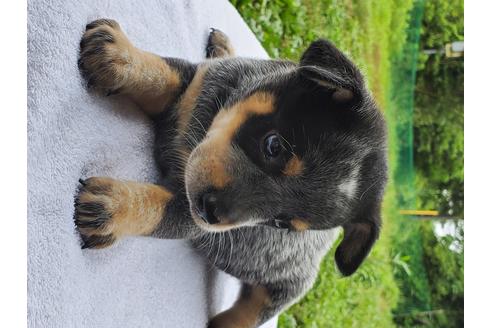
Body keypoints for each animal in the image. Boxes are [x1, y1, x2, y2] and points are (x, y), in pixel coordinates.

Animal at [74, 19, 388, 326]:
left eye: (280, 223)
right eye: (274, 146)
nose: (210, 213)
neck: (206, 124)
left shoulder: (190, 217)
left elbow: (158, 207)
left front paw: (113, 208)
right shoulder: (199, 81)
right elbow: (162, 73)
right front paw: (118, 56)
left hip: (286, 288)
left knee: (251, 311)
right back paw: (222, 47)